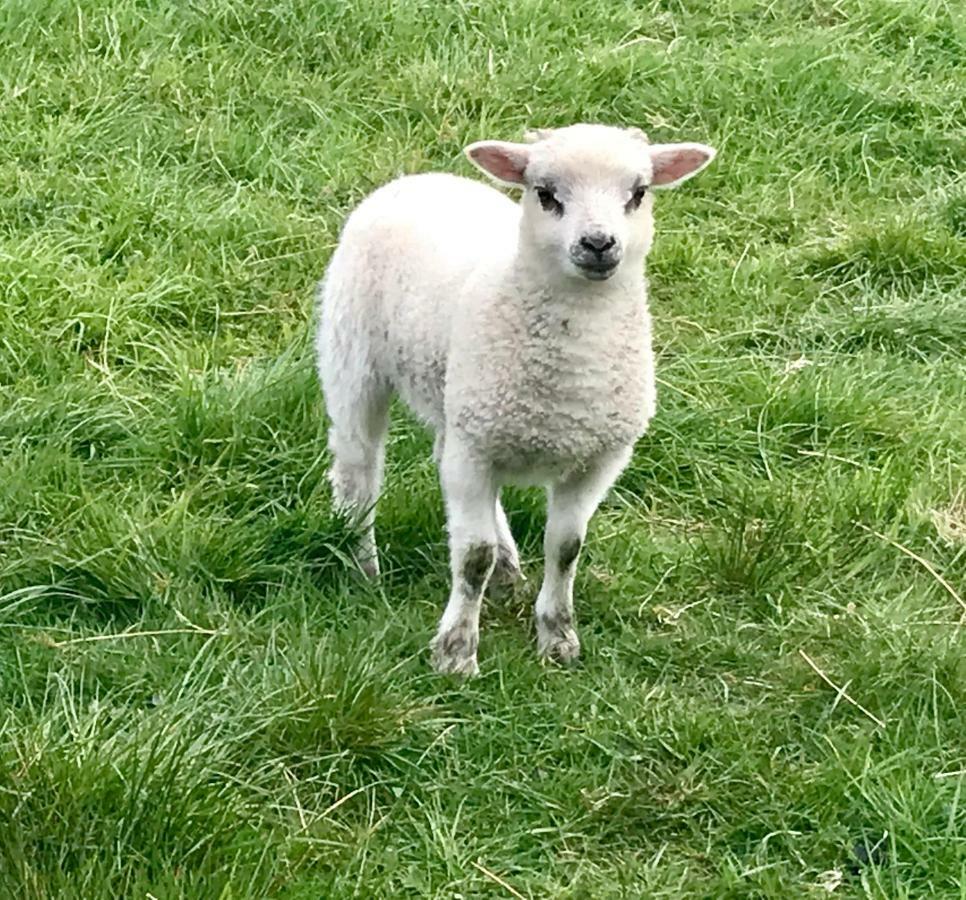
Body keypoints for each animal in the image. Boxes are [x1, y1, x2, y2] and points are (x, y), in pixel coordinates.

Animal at [314, 121, 716, 676]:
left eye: (638, 193)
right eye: (545, 194)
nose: (598, 243)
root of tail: (418, 179)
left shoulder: (597, 459)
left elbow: (566, 548)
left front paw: (558, 637)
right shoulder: (475, 452)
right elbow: (472, 556)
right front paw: (456, 652)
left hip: (461, 400)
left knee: (443, 458)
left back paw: (507, 567)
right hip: (354, 357)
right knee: (358, 467)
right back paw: (363, 564)